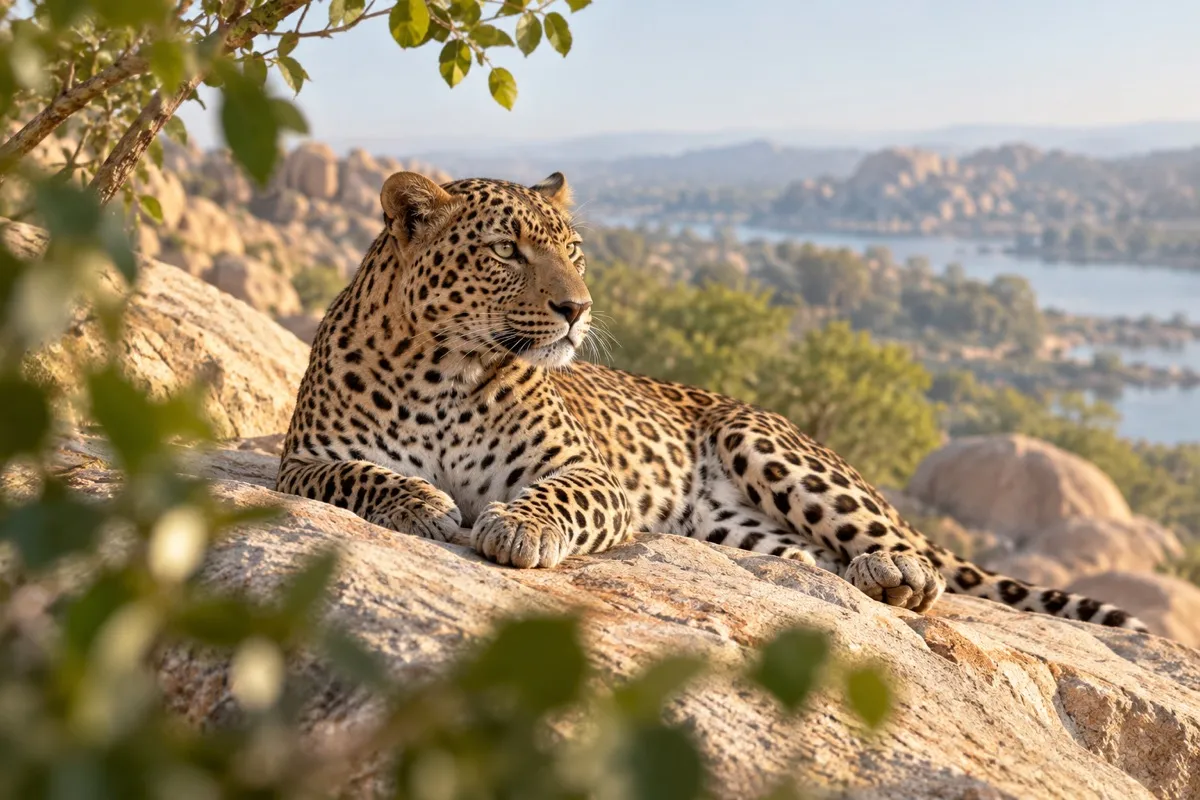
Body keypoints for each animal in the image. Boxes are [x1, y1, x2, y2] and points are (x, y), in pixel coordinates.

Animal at [276, 169, 1148, 633]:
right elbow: (366, 475)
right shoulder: (303, 461)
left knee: (902, 549)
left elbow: (553, 497)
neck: (448, 374)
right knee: (811, 558)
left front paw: (516, 528)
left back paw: (896, 573)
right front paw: (423, 502)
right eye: (505, 251)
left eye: (573, 251)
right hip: (737, 528)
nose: (577, 308)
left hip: (771, 449)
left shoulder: (589, 473)